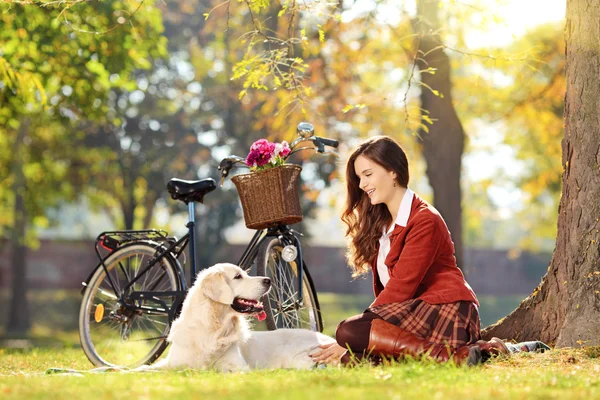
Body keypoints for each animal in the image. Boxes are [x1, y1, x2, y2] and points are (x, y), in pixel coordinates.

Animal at [147, 262, 336, 372]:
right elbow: (146, 368)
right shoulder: (173, 362)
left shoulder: (239, 368)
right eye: (238, 276)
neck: (213, 329)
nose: (268, 280)